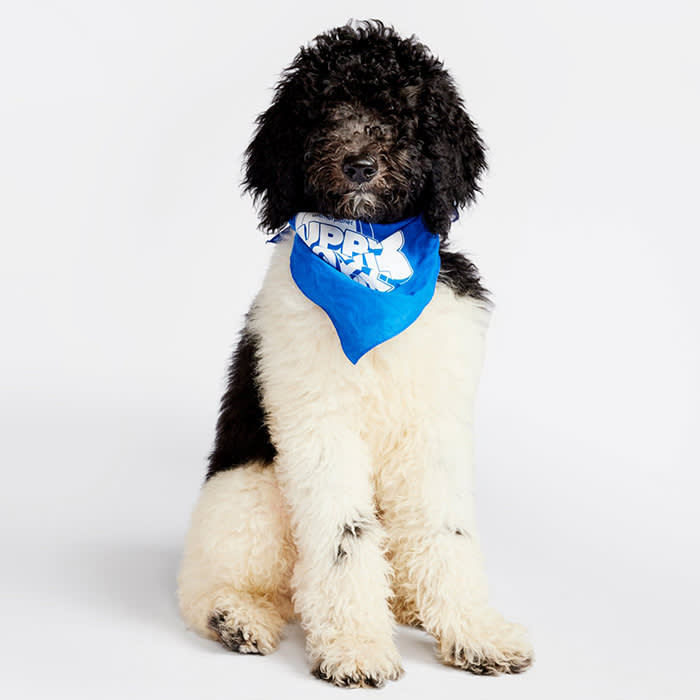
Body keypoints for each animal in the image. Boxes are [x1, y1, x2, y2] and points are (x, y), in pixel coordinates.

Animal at [178, 20, 532, 688]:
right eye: (323, 113)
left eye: (403, 116)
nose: (359, 165)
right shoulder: (320, 426)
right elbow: (345, 537)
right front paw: (355, 646)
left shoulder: (433, 426)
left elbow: (446, 531)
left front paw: (474, 632)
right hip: (250, 492)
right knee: (216, 583)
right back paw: (237, 616)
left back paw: (411, 604)